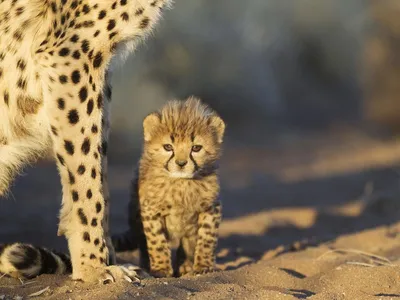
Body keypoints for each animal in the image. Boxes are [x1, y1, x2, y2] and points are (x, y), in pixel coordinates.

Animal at [0, 0, 170, 284]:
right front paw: (94, 267)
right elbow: (85, 171)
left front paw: (107, 258)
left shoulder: (97, 68)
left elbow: (99, 166)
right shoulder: (70, 54)